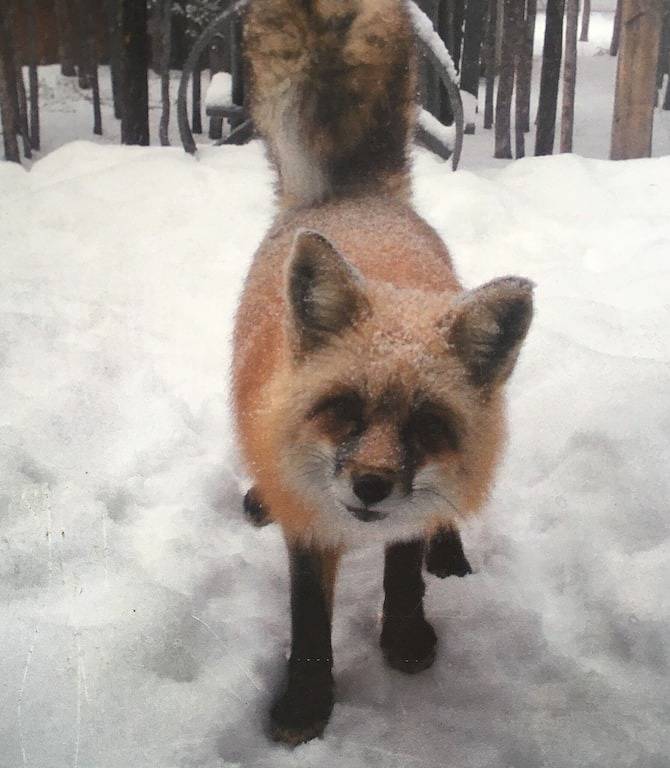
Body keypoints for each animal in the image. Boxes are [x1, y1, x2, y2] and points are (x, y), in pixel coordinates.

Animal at [233, 0, 534, 745]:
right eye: (344, 407)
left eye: (427, 423)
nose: (370, 485)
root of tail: (355, 196)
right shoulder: (307, 518)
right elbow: (309, 618)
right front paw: (307, 705)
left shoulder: (408, 506)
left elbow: (403, 571)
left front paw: (404, 639)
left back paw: (447, 548)